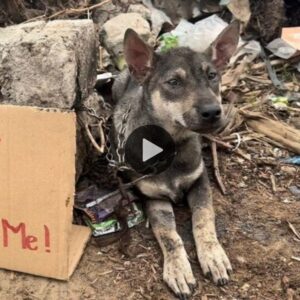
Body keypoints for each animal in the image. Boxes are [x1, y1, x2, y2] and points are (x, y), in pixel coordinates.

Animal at [111, 20, 240, 298]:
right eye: (173, 82)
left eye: (212, 76)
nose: (213, 112)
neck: (171, 147)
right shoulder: (153, 197)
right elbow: (168, 234)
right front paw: (178, 269)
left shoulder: (200, 180)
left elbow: (204, 218)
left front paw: (213, 255)